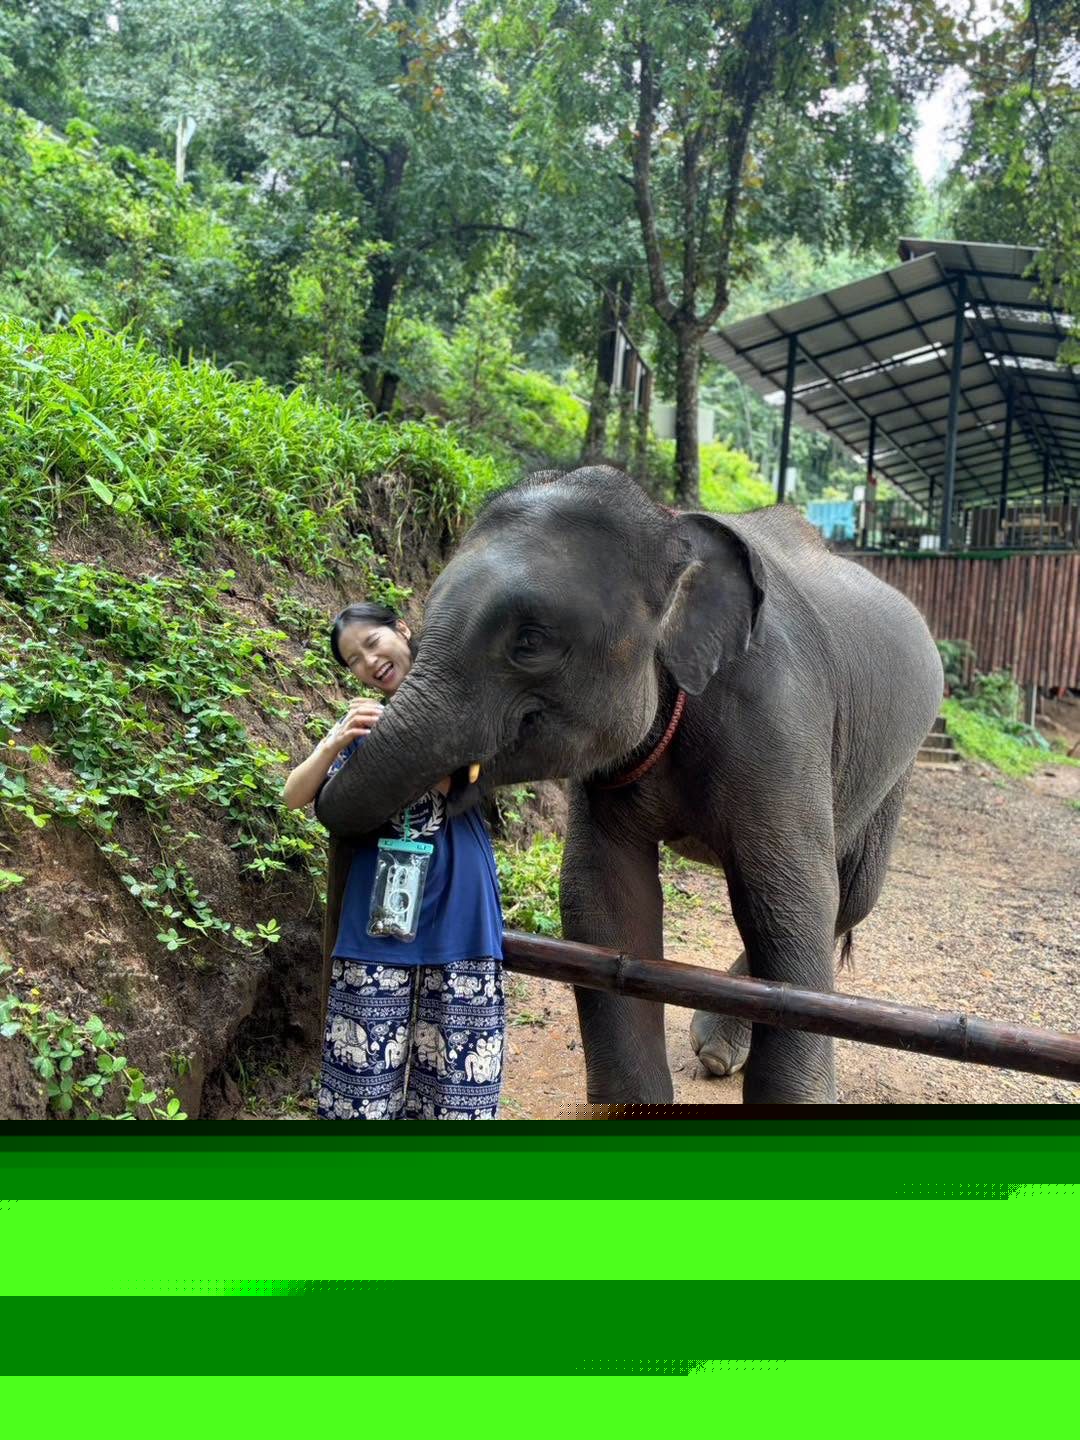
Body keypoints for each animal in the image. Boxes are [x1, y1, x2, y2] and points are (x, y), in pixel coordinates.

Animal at [316, 466, 943, 1105]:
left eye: (530, 641)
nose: (355, 728)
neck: (671, 526)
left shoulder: (778, 715)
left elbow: (789, 902)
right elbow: (601, 894)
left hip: (899, 762)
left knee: (850, 895)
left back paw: (718, 1048)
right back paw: (715, 1049)